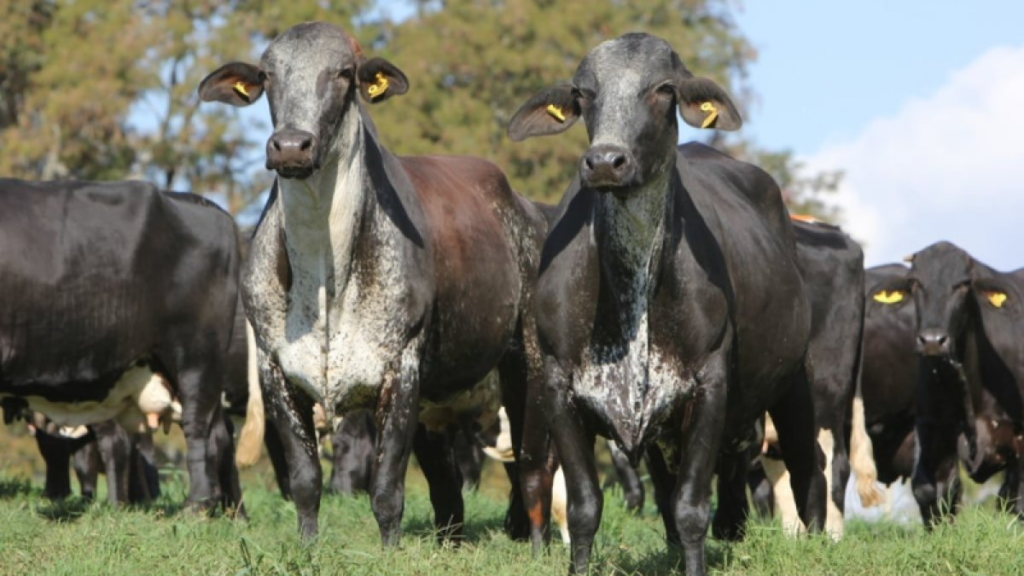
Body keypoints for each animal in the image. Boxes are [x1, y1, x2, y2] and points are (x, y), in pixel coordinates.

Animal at [198, 21, 552, 541]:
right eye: (267, 74)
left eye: (344, 72)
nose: (291, 146)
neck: (325, 274)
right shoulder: (275, 369)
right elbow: (305, 480)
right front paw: (308, 548)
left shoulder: (400, 370)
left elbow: (386, 490)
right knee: (449, 489)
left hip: (527, 369)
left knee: (532, 465)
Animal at [507, 32, 827, 573]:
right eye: (583, 93)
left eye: (663, 89)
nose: (604, 161)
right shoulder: (559, 387)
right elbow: (585, 507)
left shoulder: (709, 384)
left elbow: (692, 508)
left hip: (797, 383)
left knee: (809, 470)